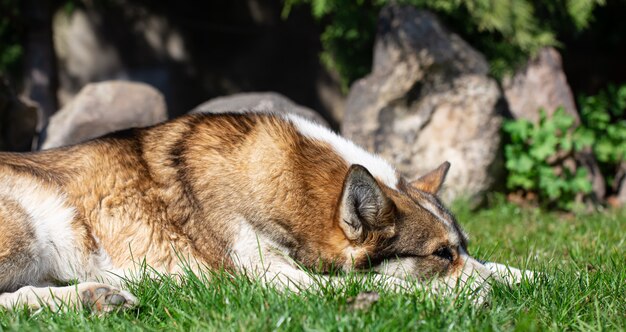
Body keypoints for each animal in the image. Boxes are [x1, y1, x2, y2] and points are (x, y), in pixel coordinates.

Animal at [0, 113, 528, 312]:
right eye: (440, 256)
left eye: (459, 249)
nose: (497, 295)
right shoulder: (268, 278)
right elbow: (377, 284)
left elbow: (501, 267)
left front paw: (523, 278)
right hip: (33, 227)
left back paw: (96, 297)